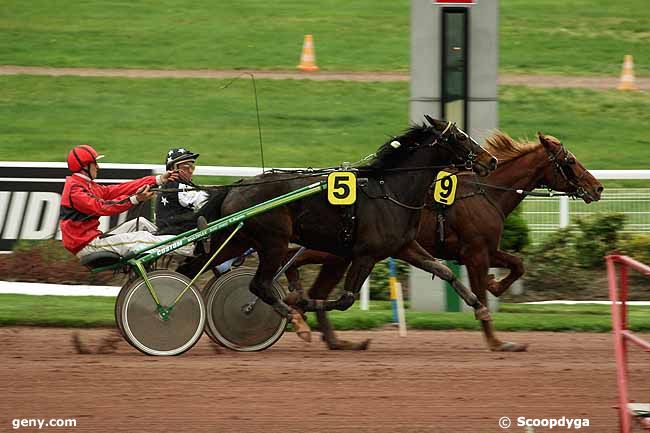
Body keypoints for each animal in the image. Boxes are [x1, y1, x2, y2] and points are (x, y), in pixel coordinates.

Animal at [197, 116, 496, 340]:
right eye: (459, 137)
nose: (490, 160)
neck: (391, 191)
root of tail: (236, 186)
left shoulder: (403, 246)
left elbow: (444, 270)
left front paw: (479, 306)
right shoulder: (365, 254)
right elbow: (345, 299)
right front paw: (300, 303)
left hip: (237, 240)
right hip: (273, 243)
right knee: (259, 285)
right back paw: (293, 318)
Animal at [284, 130, 604, 350]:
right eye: (570, 161)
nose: (597, 187)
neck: (485, 191)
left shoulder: (483, 249)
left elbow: (517, 264)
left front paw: (495, 284)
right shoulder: (476, 253)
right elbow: (482, 291)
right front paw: (496, 340)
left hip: (337, 254)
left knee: (313, 286)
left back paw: (331, 337)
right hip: (334, 251)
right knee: (296, 264)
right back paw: (300, 311)